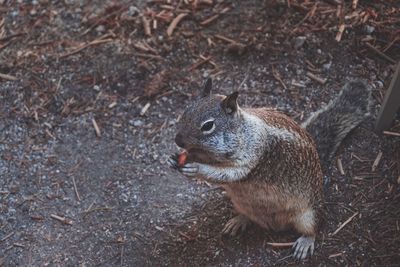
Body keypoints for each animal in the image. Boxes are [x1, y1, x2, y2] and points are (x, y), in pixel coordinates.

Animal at [167, 78, 370, 260]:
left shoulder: (252, 156)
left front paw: (196, 168)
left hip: (308, 213)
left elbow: (228, 174)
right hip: (241, 203)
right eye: (186, 112)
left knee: (315, 226)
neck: (242, 131)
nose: (178, 140)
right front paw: (173, 159)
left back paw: (305, 242)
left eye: (208, 126)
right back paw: (239, 220)